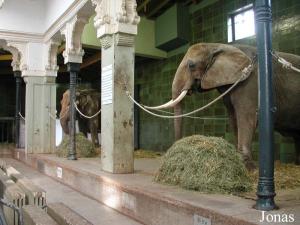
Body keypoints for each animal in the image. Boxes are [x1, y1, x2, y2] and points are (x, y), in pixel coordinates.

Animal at [148, 42, 300, 169]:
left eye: (191, 65)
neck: (217, 46)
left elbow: (246, 116)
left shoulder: (250, 80)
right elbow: (234, 118)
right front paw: (238, 159)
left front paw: (246, 167)